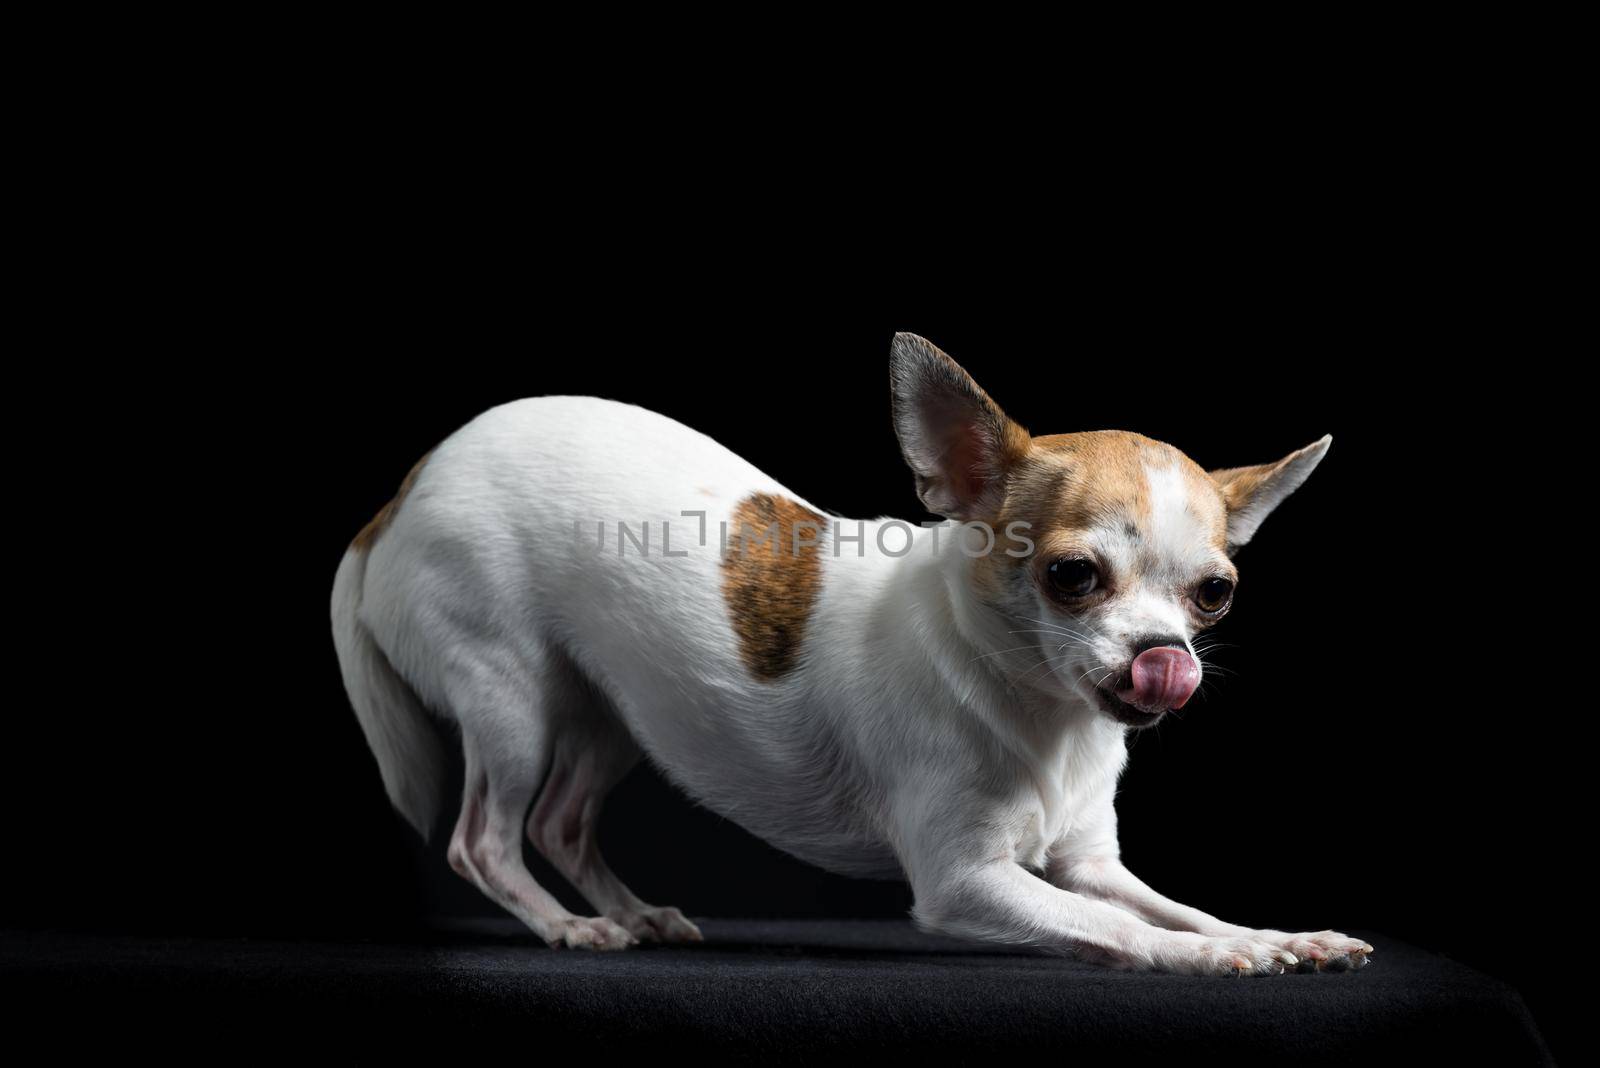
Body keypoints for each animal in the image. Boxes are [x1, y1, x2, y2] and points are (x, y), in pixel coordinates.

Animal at [331, 334, 1369, 978]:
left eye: (1214, 593)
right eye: (1073, 576)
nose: (1166, 657)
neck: (1036, 709)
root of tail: (407, 487)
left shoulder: (1086, 863)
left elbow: (1169, 905)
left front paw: (1277, 934)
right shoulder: (967, 883)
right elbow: (1119, 928)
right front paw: (1212, 958)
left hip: (611, 712)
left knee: (559, 823)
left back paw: (631, 915)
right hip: (510, 702)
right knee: (483, 839)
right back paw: (565, 926)